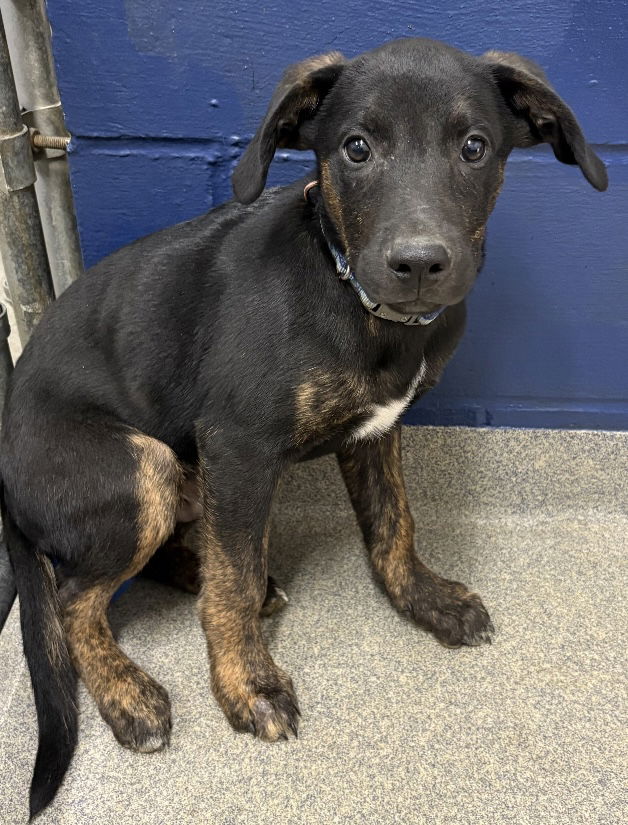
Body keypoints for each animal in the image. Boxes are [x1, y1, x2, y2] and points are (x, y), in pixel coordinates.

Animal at [0, 38, 607, 818]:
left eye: (474, 147)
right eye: (356, 148)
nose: (418, 264)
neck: (353, 298)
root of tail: (4, 477)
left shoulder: (377, 432)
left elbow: (393, 526)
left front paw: (425, 599)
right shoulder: (237, 447)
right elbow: (230, 585)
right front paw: (246, 684)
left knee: (158, 563)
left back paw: (204, 576)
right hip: (142, 470)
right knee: (77, 599)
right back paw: (127, 693)